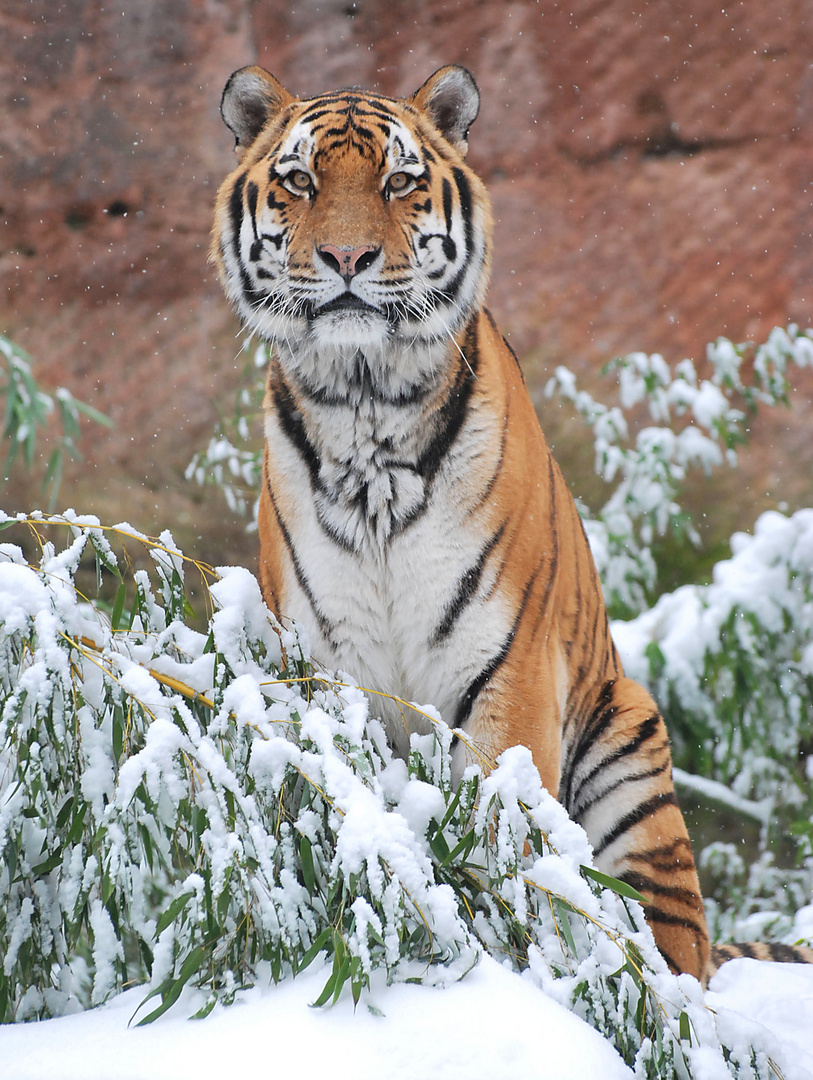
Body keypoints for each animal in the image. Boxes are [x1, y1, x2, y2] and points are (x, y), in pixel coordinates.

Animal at [210, 63, 811, 984]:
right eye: (301, 181)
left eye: (397, 181)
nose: (346, 258)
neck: (363, 409)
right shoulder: (321, 668)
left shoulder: (509, 670)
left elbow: (506, 845)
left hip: (630, 762)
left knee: (671, 956)